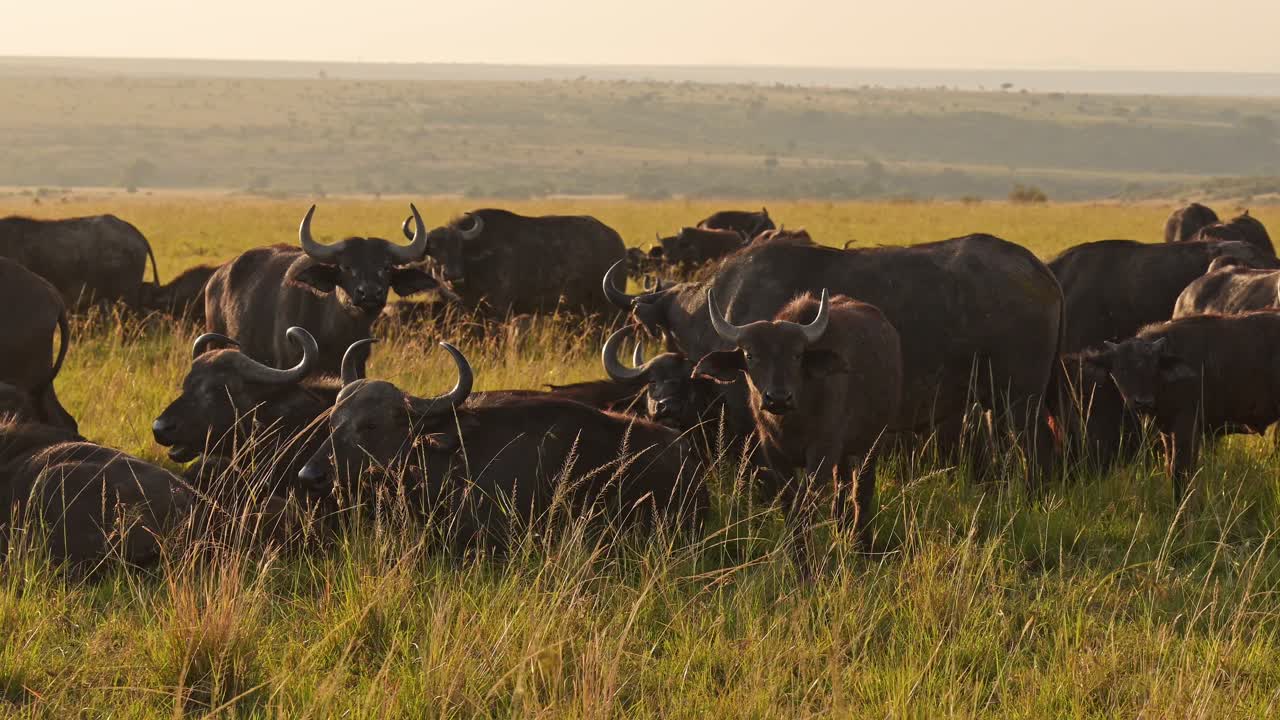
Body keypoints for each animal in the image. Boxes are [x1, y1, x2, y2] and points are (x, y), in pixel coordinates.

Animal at [605, 232, 1063, 483]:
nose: (665, 406)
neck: (716, 308)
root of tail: (1038, 270)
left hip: (1021, 399)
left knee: (1036, 447)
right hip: (992, 401)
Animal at [694, 291, 902, 557]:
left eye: (797, 355)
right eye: (750, 355)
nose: (778, 398)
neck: (791, 421)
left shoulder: (822, 451)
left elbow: (804, 506)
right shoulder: (774, 454)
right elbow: (789, 505)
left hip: (873, 440)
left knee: (861, 490)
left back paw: (861, 542)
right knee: (842, 488)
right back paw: (841, 529)